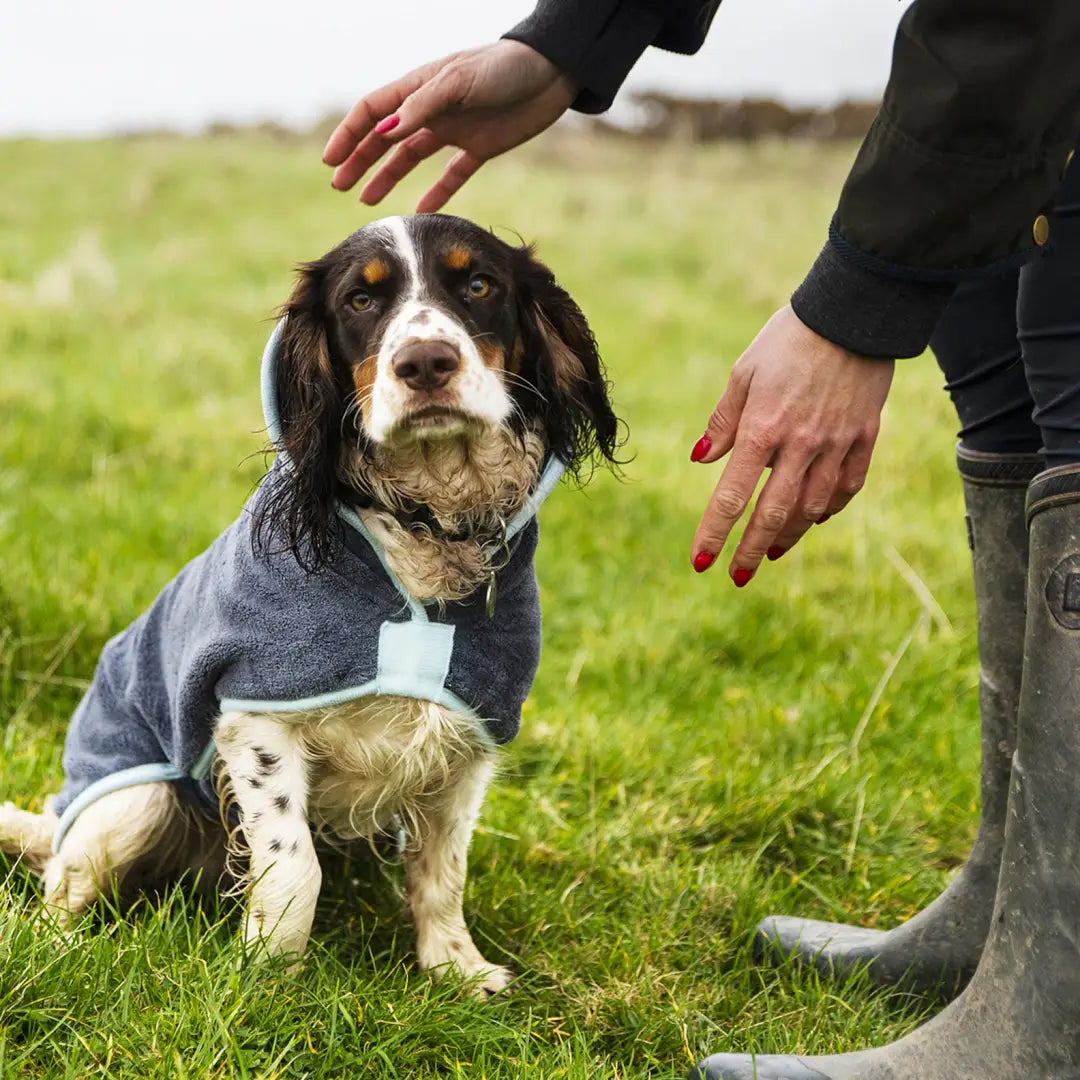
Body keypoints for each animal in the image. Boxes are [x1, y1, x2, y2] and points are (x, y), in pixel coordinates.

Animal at [0, 212, 622, 993]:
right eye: (361, 300)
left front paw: (455, 968)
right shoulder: (257, 717)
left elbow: (443, 870)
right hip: (131, 799)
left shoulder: (471, 735)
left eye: (478, 284)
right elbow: (294, 867)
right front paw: (268, 973)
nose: (425, 362)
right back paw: (57, 948)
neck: (421, 523)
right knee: (64, 879)